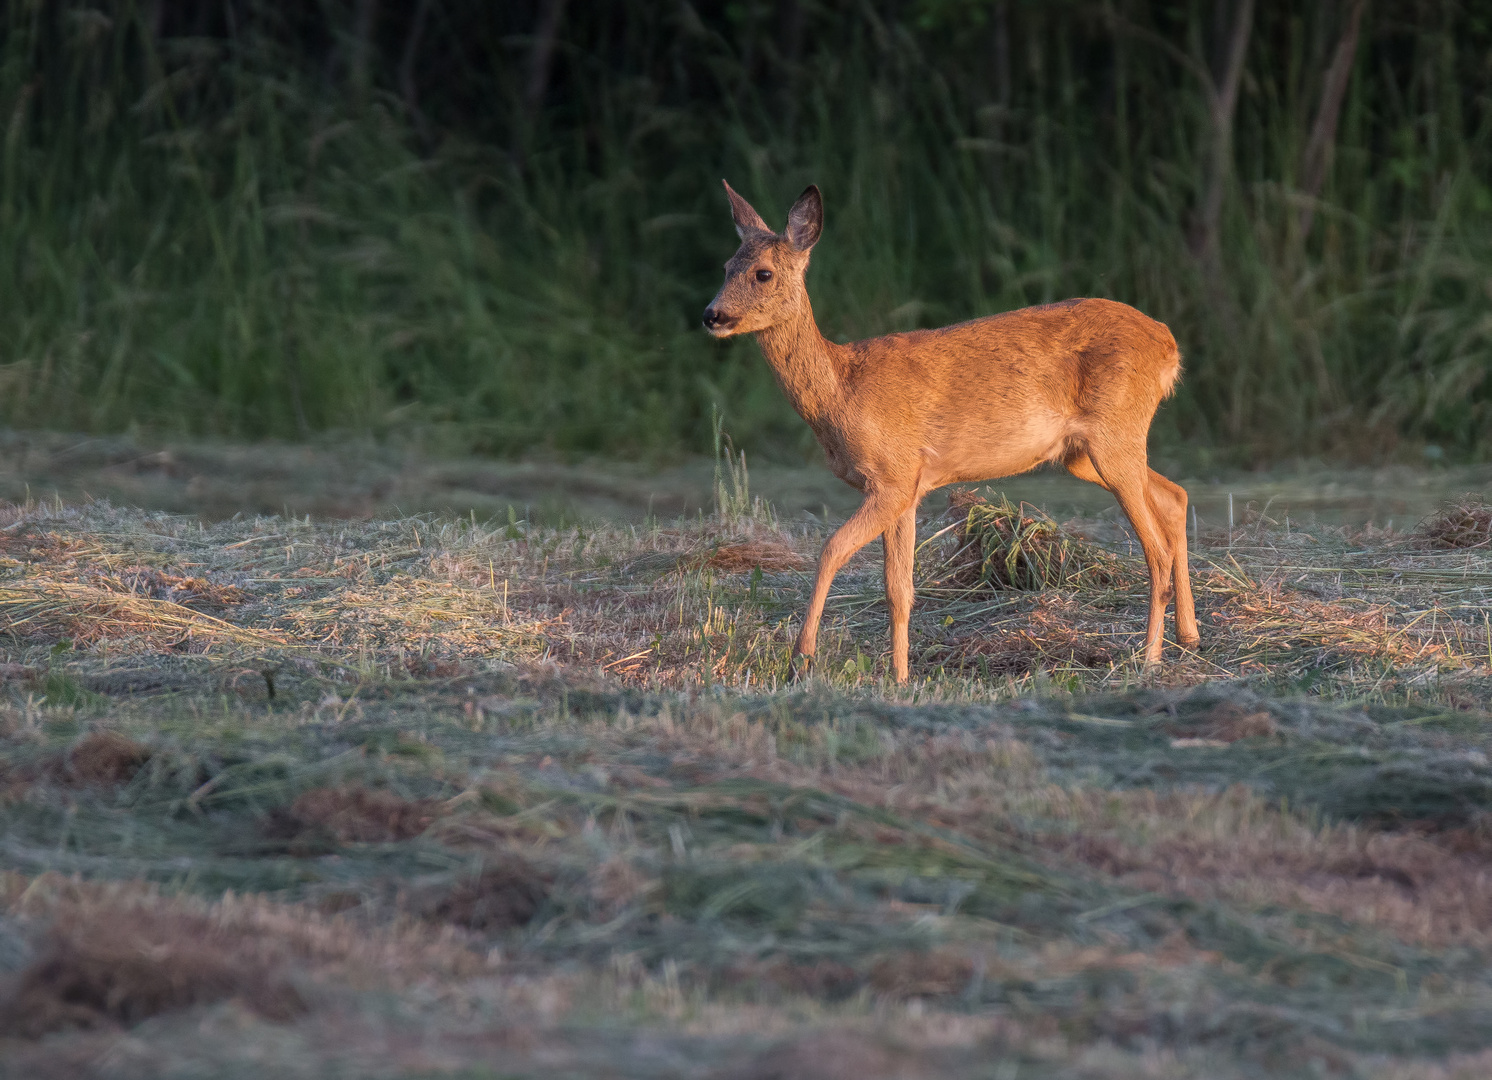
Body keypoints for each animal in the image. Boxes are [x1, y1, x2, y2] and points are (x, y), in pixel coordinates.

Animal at [701, 179, 1199, 683]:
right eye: (725, 267)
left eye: (763, 273)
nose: (712, 315)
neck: (841, 392)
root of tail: (1168, 344)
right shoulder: (907, 488)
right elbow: (898, 589)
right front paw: (901, 676)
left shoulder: (893, 477)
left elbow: (831, 550)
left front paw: (801, 658)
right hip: (1085, 452)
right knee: (1175, 497)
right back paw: (1188, 636)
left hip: (1115, 432)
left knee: (1155, 548)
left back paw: (1149, 659)